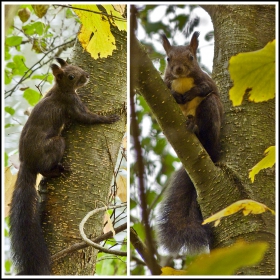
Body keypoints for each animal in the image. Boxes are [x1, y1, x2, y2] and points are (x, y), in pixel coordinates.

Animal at [9, 57, 119, 274]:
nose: (87, 75)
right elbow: (86, 118)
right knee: (45, 167)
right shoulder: (72, 104)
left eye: (78, 67)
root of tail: (26, 163)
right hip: (56, 144)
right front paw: (108, 118)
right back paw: (57, 171)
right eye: (71, 76)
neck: (59, 89)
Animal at [158, 31, 223, 256]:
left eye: (191, 57)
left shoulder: (207, 81)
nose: (178, 69)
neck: (183, 80)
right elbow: (170, 91)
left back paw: (195, 128)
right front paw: (177, 95)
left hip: (210, 111)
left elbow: (207, 88)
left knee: (209, 105)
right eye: (168, 59)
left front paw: (190, 94)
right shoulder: (166, 83)